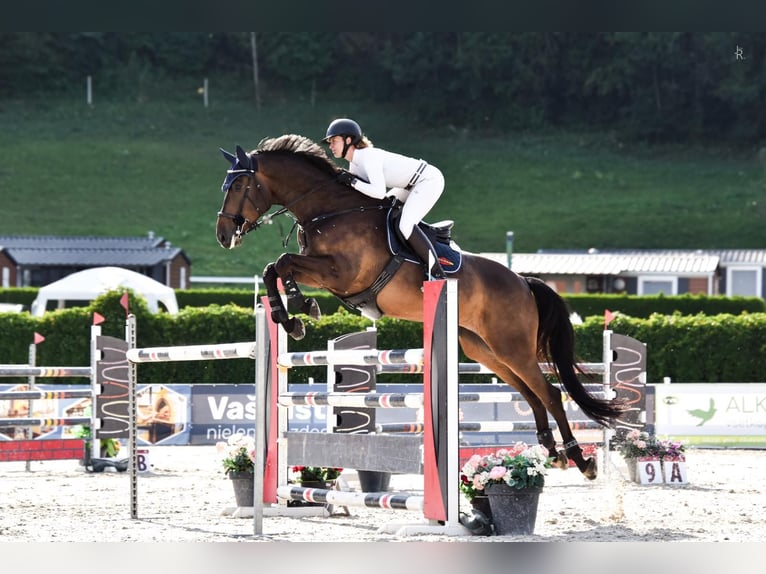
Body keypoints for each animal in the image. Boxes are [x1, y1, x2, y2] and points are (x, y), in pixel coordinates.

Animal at [215, 134, 627, 479]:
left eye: (237, 185)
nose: (222, 236)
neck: (329, 210)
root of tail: (522, 282)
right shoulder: (327, 273)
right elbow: (274, 268)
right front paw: (290, 316)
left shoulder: (341, 273)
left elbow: (283, 262)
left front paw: (299, 308)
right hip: (485, 349)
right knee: (530, 393)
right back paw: (551, 451)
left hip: (512, 346)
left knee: (549, 393)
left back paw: (580, 459)